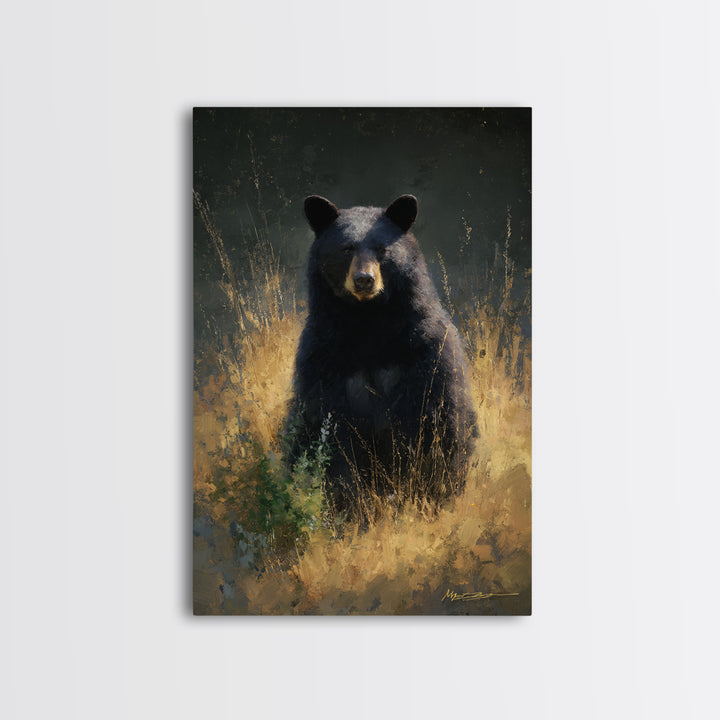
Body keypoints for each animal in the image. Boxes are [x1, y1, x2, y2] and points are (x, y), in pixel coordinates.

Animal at [286, 194, 478, 518]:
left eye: (381, 249)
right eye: (346, 248)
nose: (364, 280)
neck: (369, 322)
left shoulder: (425, 348)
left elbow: (438, 417)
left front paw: (427, 499)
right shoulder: (322, 356)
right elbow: (331, 430)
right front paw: (352, 507)